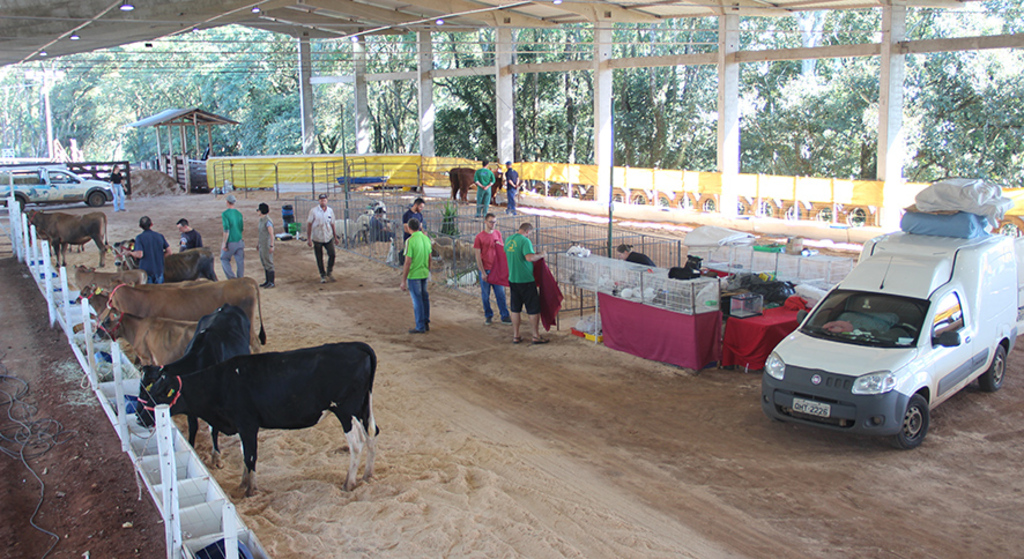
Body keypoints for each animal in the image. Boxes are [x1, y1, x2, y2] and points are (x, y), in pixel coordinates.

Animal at [138, 303, 251, 462]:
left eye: (151, 391)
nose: (138, 417)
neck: (199, 360)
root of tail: (227, 306)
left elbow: (214, 427)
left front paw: (216, 454)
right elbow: (193, 426)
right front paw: (192, 449)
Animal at [146, 341, 378, 493]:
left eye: (159, 394)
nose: (143, 418)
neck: (221, 382)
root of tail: (356, 346)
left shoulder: (247, 424)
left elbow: (250, 455)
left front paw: (251, 489)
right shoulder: (241, 427)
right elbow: (243, 453)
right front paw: (242, 484)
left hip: (346, 411)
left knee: (357, 443)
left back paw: (349, 483)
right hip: (363, 408)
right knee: (371, 436)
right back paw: (367, 475)